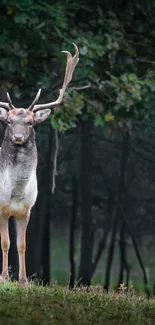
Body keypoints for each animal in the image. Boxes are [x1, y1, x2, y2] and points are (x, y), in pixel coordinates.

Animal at [0, 43, 78, 284]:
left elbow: (21, 244)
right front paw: (4, 277)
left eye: (31, 122)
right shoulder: (1, 208)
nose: (17, 137)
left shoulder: (26, 210)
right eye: (8, 121)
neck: (14, 191)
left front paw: (24, 279)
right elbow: (5, 243)